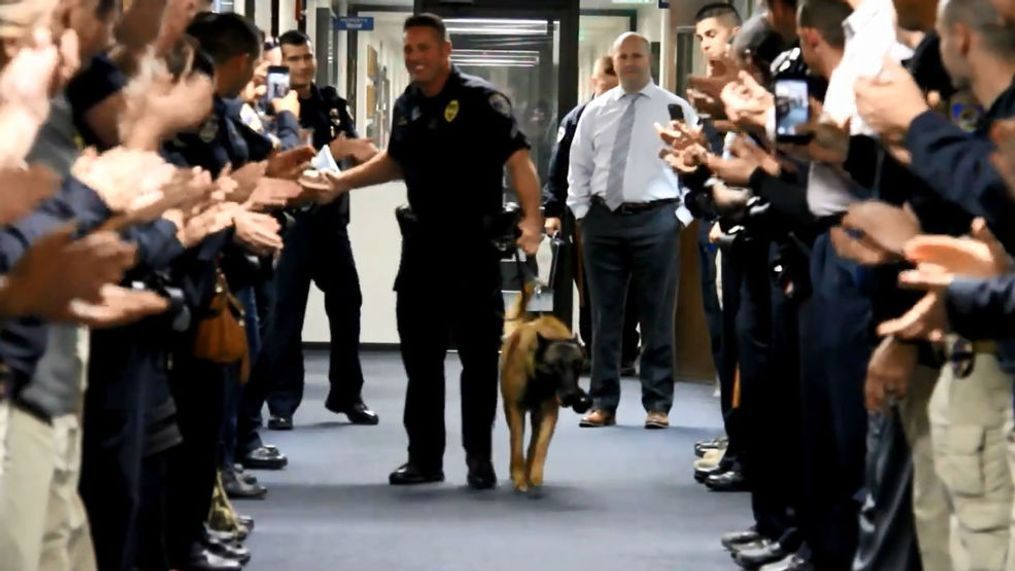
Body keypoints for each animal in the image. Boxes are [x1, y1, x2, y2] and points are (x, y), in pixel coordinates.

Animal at [497, 283, 588, 490]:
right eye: (555, 367)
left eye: (577, 366)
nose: (572, 396)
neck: (538, 379)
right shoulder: (516, 409)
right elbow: (516, 444)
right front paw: (519, 477)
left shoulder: (549, 411)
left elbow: (541, 445)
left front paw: (534, 474)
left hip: (537, 414)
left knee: (533, 441)